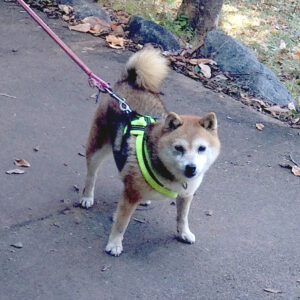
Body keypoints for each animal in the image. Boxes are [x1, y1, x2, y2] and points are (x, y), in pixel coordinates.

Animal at [80, 46, 220, 255]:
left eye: (201, 148)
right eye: (179, 148)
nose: (191, 168)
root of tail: (129, 81)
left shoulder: (186, 195)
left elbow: (182, 217)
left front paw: (184, 233)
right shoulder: (130, 196)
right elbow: (121, 223)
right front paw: (114, 244)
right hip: (97, 147)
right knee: (91, 174)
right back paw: (87, 197)